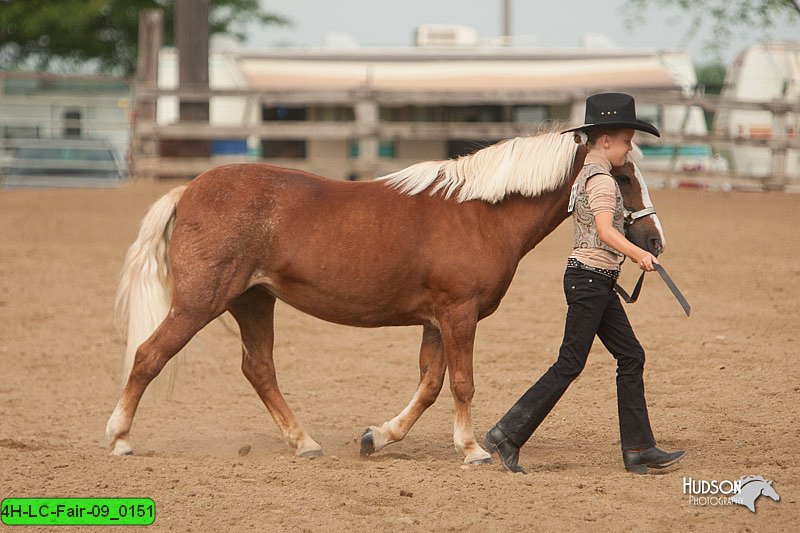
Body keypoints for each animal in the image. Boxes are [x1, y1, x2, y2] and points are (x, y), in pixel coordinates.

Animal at [108, 128, 668, 462]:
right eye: (622, 176)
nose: (654, 242)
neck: (479, 213)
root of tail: (187, 191)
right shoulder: (459, 313)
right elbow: (461, 383)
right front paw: (473, 450)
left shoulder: (436, 320)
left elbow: (430, 385)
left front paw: (378, 436)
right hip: (201, 303)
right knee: (149, 355)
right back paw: (119, 438)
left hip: (253, 301)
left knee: (259, 368)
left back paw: (304, 442)